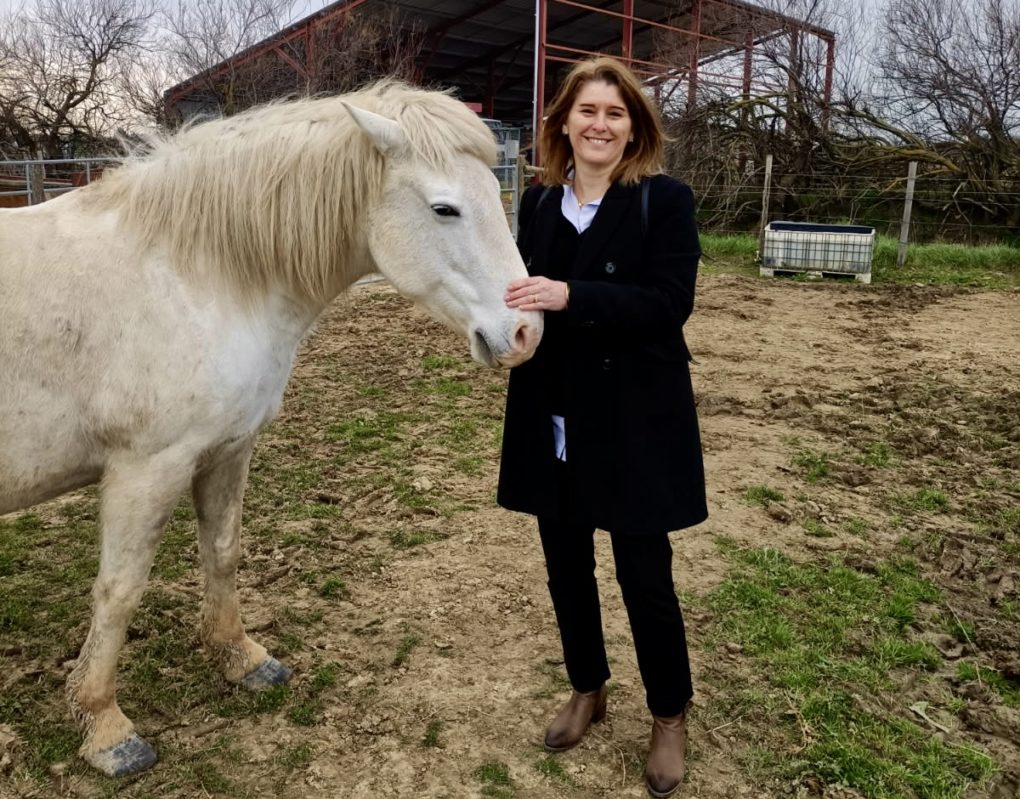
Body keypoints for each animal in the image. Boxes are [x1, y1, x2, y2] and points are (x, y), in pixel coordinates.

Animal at [0, 84, 542, 779]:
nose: (526, 333)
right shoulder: (146, 469)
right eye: (444, 208)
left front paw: (241, 658)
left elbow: (222, 552)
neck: (193, 272)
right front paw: (104, 726)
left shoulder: (226, 449)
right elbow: (119, 591)